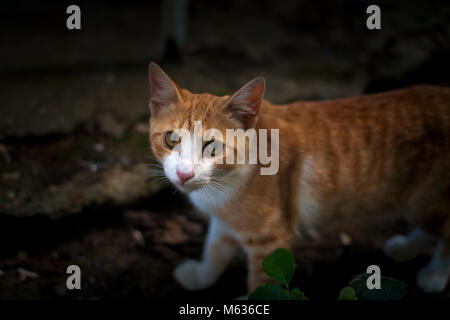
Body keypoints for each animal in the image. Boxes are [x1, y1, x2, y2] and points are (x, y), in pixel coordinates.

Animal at [149, 63, 450, 298]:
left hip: (425, 201)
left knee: (445, 230)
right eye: (171, 139)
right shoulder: (225, 219)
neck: (224, 185)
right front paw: (201, 275)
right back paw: (405, 248)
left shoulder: (270, 238)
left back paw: (435, 274)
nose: (184, 174)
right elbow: (215, 249)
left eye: (212, 147)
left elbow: (262, 285)